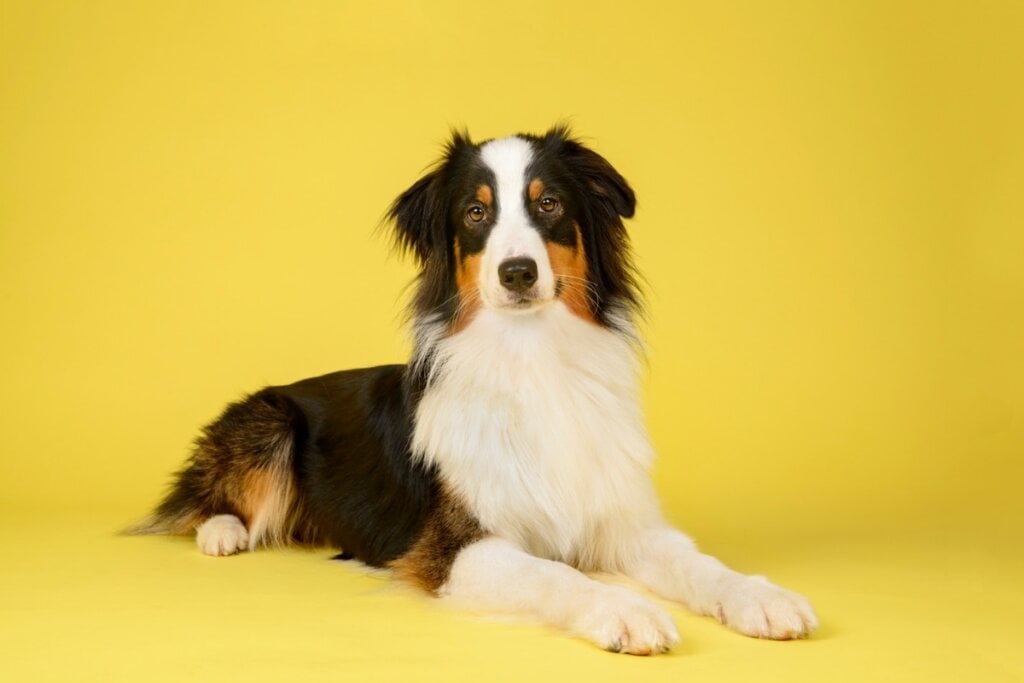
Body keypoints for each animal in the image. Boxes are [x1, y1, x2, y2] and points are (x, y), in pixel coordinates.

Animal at [134, 127, 815, 655]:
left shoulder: (616, 521)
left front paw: (760, 596)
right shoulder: (454, 546)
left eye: (548, 204)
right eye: (475, 214)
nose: (517, 272)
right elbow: (553, 575)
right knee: (205, 498)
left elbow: (696, 562)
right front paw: (624, 610)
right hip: (270, 420)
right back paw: (223, 533)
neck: (532, 359)